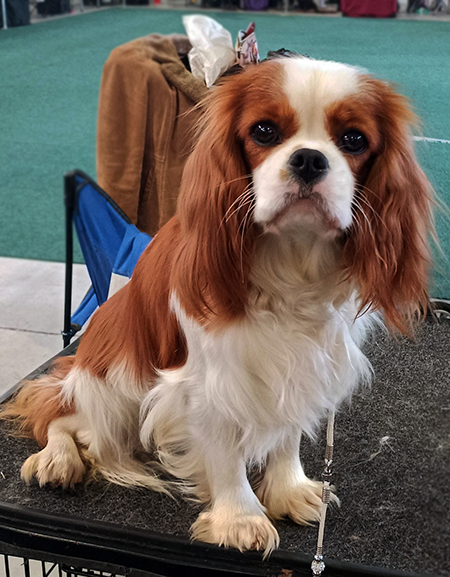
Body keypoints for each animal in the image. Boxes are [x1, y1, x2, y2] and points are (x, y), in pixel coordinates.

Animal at [3, 56, 433, 555]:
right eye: (264, 131)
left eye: (354, 140)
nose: (309, 158)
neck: (291, 261)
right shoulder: (209, 378)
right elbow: (224, 450)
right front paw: (239, 519)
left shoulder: (303, 363)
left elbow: (287, 431)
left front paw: (288, 489)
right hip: (110, 384)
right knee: (61, 415)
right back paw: (56, 460)